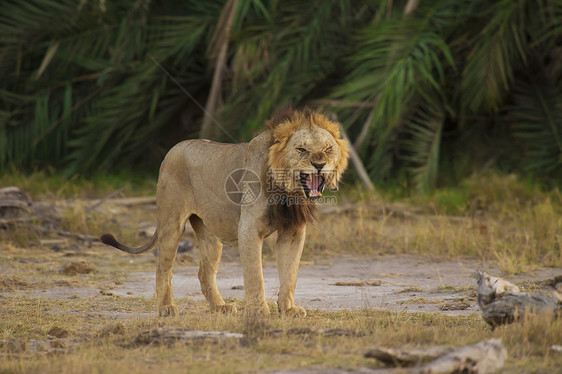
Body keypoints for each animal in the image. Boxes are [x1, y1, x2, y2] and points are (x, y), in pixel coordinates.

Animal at [99, 107, 348, 316]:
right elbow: (255, 275)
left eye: (328, 149)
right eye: (301, 149)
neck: (287, 190)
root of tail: (174, 148)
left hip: (210, 233)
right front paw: (259, 311)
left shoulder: (293, 232)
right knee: (163, 267)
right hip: (171, 223)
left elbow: (290, 273)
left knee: (204, 272)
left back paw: (220, 307)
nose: (319, 165)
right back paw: (166, 308)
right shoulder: (249, 230)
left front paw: (288, 309)